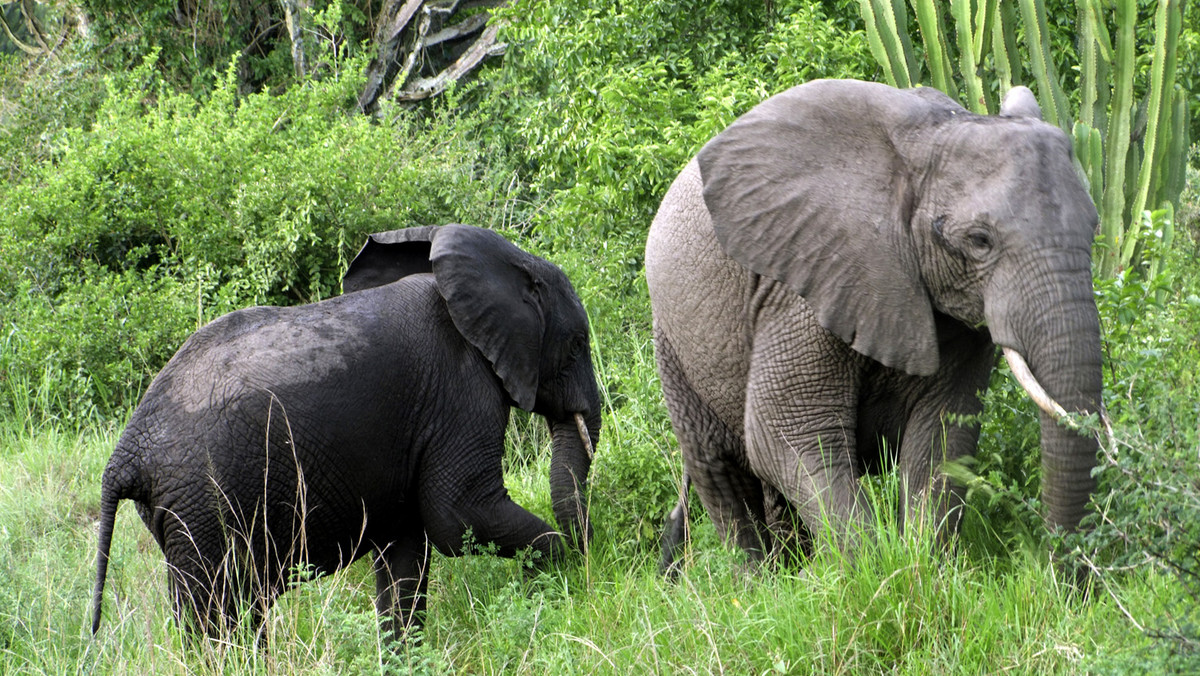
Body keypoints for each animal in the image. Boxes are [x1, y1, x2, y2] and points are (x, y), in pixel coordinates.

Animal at [90, 224, 600, 638]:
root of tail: (127, 454)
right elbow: (458, 515)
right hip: (206, 503)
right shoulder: (461, 391)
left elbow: (405, 549)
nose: (594, 554)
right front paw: (556, 564)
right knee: (221, 612)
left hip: (181, 511)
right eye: (577, 345)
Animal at [648, 80, 1104, 571]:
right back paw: (759, 581)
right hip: (672, 338)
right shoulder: (806, 282)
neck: (935, 134)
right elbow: (787, 437)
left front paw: (926, 568)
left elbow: (942, 438)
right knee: (720, 470)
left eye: (1093, 227)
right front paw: (874, 570)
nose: (1057, 577)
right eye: (980, 241)